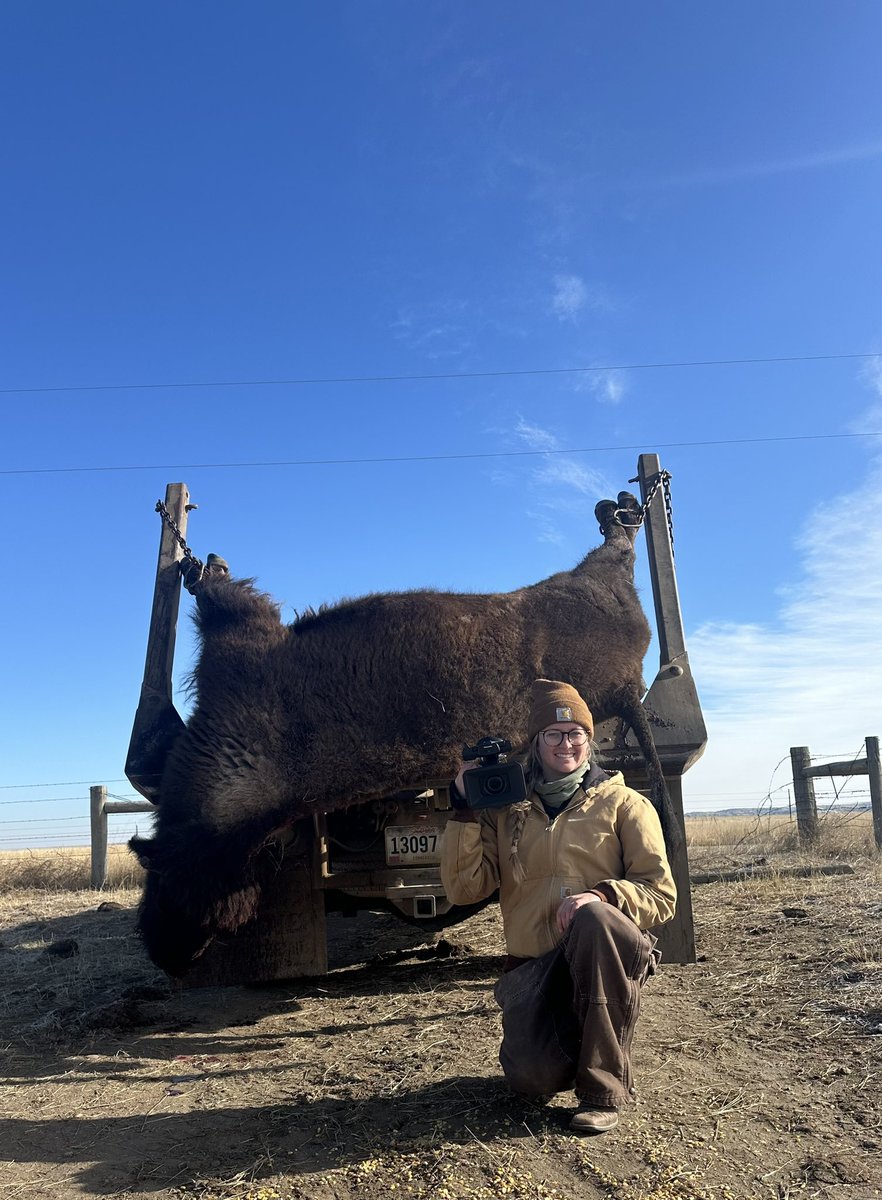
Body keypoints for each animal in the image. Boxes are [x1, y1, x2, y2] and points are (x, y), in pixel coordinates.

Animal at [131, 491, 677, 975]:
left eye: (171, 881)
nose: (168, 956)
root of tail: (628, 686)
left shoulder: (240, 638)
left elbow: (222, 595)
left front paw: (203, 566)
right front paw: (199, 563)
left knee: (615, 548)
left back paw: (621, 509)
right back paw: (621, 508)